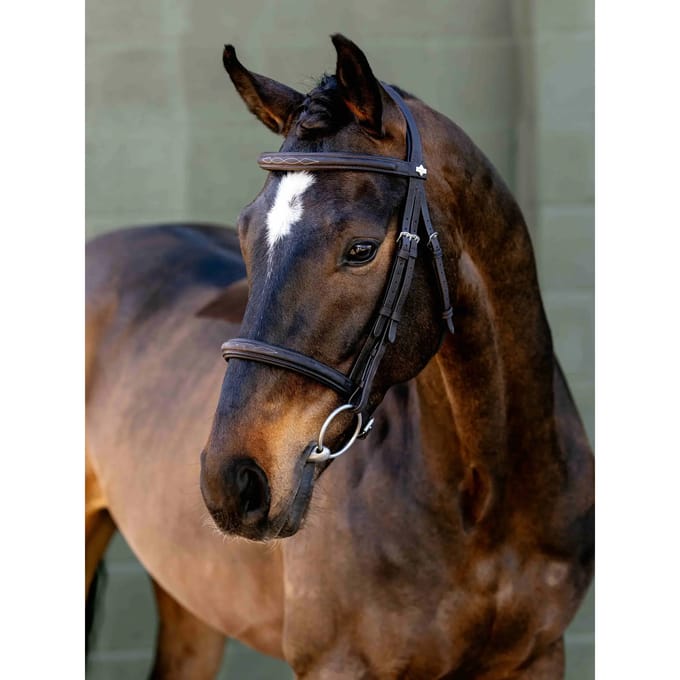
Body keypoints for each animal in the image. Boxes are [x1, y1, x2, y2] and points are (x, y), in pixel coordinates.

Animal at [86, 34, 593, 679]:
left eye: (361, 250)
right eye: (246, 234)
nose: (234, 481)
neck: (490, 501)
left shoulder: (538, 656)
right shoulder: (339, 664)